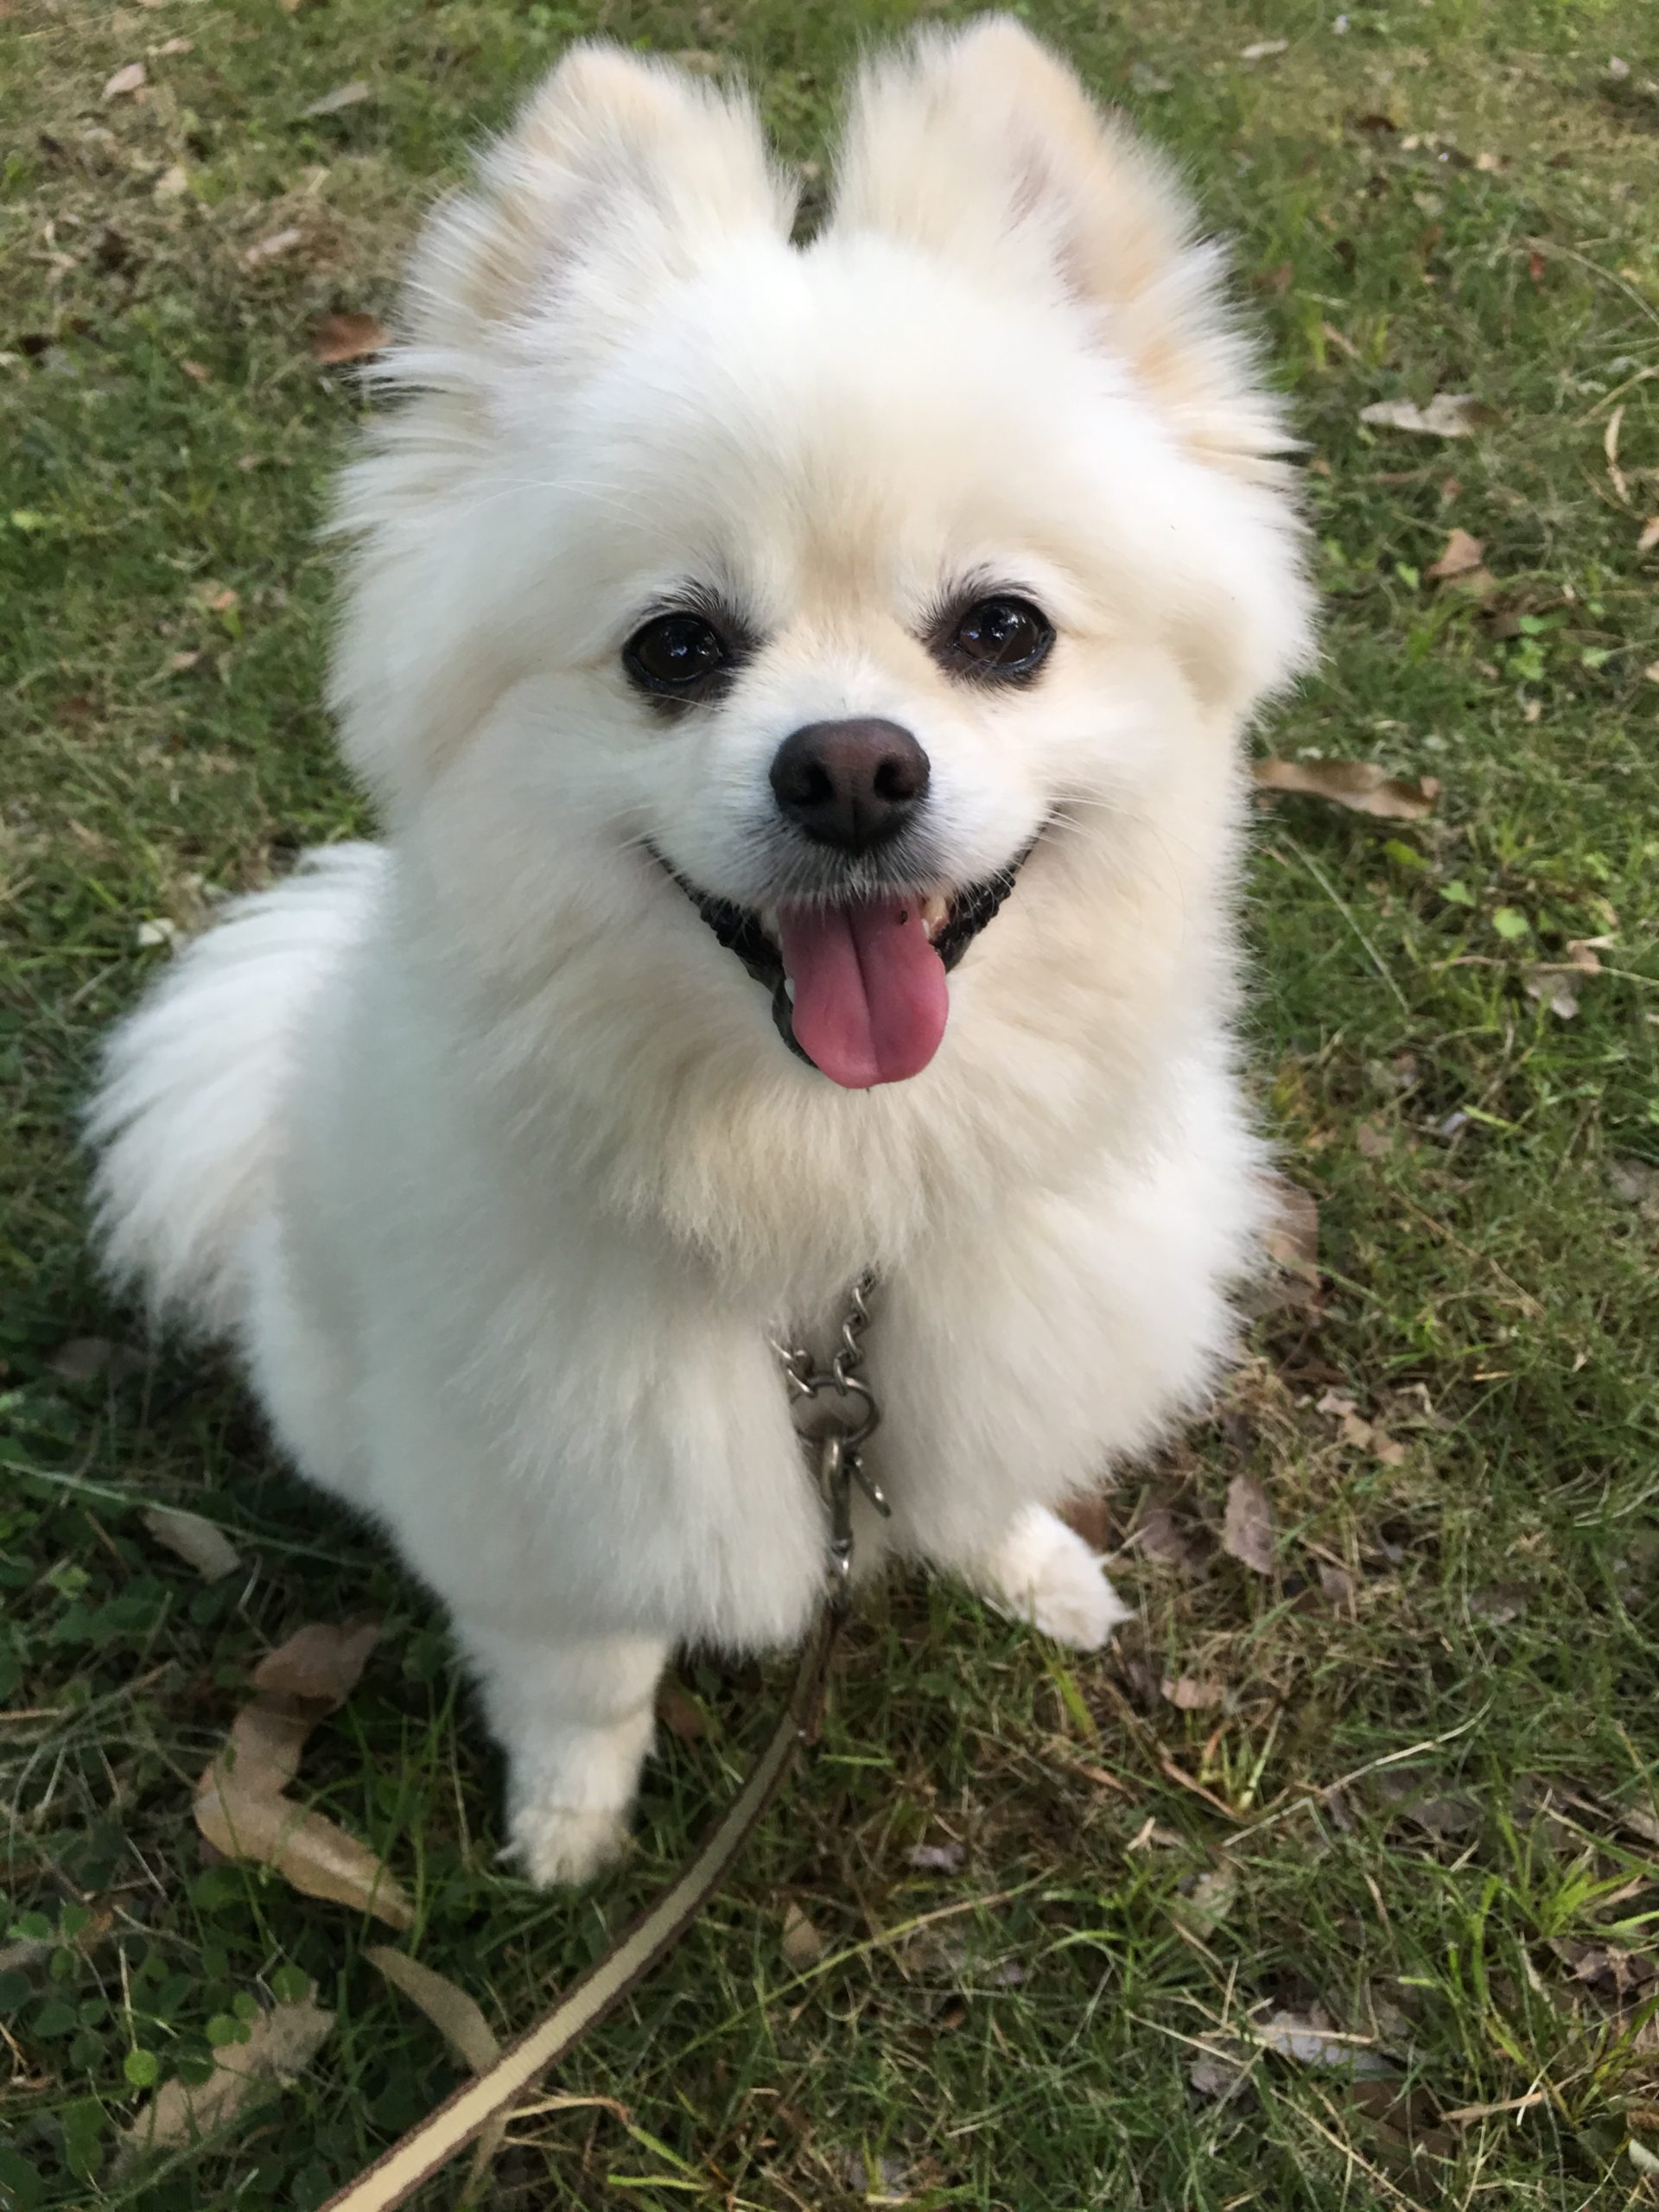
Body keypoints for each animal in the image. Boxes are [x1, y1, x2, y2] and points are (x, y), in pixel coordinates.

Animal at [87, 17, 1309, 1885]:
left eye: (1001, 631)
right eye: (675, 648)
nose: (854, 768)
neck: (831, 1174)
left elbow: (975, 1471)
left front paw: (1030, 1564)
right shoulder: (538, 1487)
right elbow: (581, 1672)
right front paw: (569, 1827)